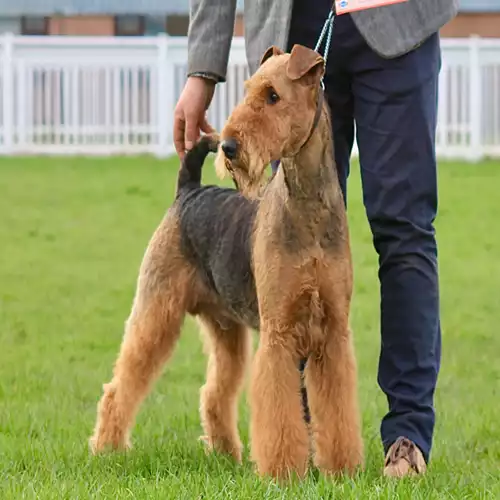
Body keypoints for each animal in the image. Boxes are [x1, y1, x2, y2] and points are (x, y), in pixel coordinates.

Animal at [90, 45, 364, 482]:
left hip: (226, 330)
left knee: (214, 392)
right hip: (156, 310)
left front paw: (343, 470)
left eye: (273, 95)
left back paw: (225, 454)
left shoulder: (333, 332)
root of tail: (188, 191)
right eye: (249, 89)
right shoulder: (278, 333)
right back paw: (107, 449)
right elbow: (279, 414)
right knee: (121, 385)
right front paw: (282, 473)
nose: (230, 147)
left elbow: (338, 411)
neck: (307, 209)